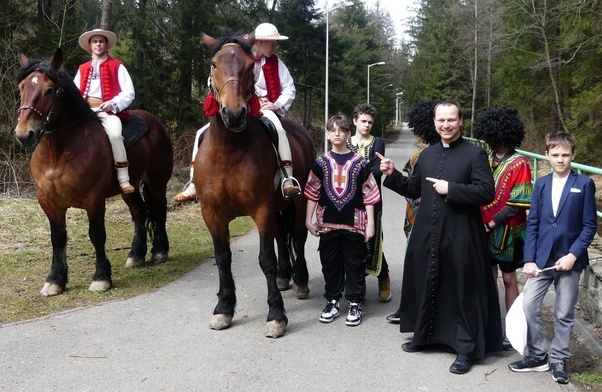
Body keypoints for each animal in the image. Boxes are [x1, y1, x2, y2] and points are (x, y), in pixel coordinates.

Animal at [14, 47, 173, 296]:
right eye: (22, 88)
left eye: (49, 90)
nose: (24, 134)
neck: (58, 153)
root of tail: (155, 122)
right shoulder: (48, 201)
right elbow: (58, 238)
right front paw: (55, 280)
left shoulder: (94, 200)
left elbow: (97, 235)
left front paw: (101, 277)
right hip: (128, 188)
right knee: (138, 211)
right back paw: (136, 255)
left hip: (157, 181)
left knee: (158, 209)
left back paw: (159, 251)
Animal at [197, 35, 314, 338]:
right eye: (214, 64)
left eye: (251, 67)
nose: (234, 114)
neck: (228, 150)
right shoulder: (212, 213)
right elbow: (223, 257)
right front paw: (223, 309)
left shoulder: (261, 209)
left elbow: (266, 259)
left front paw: (276, 315)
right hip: (277, 208)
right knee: (282, 239)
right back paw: (285, 276)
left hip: (297, 202)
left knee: (298, 238)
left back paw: (300, 281)